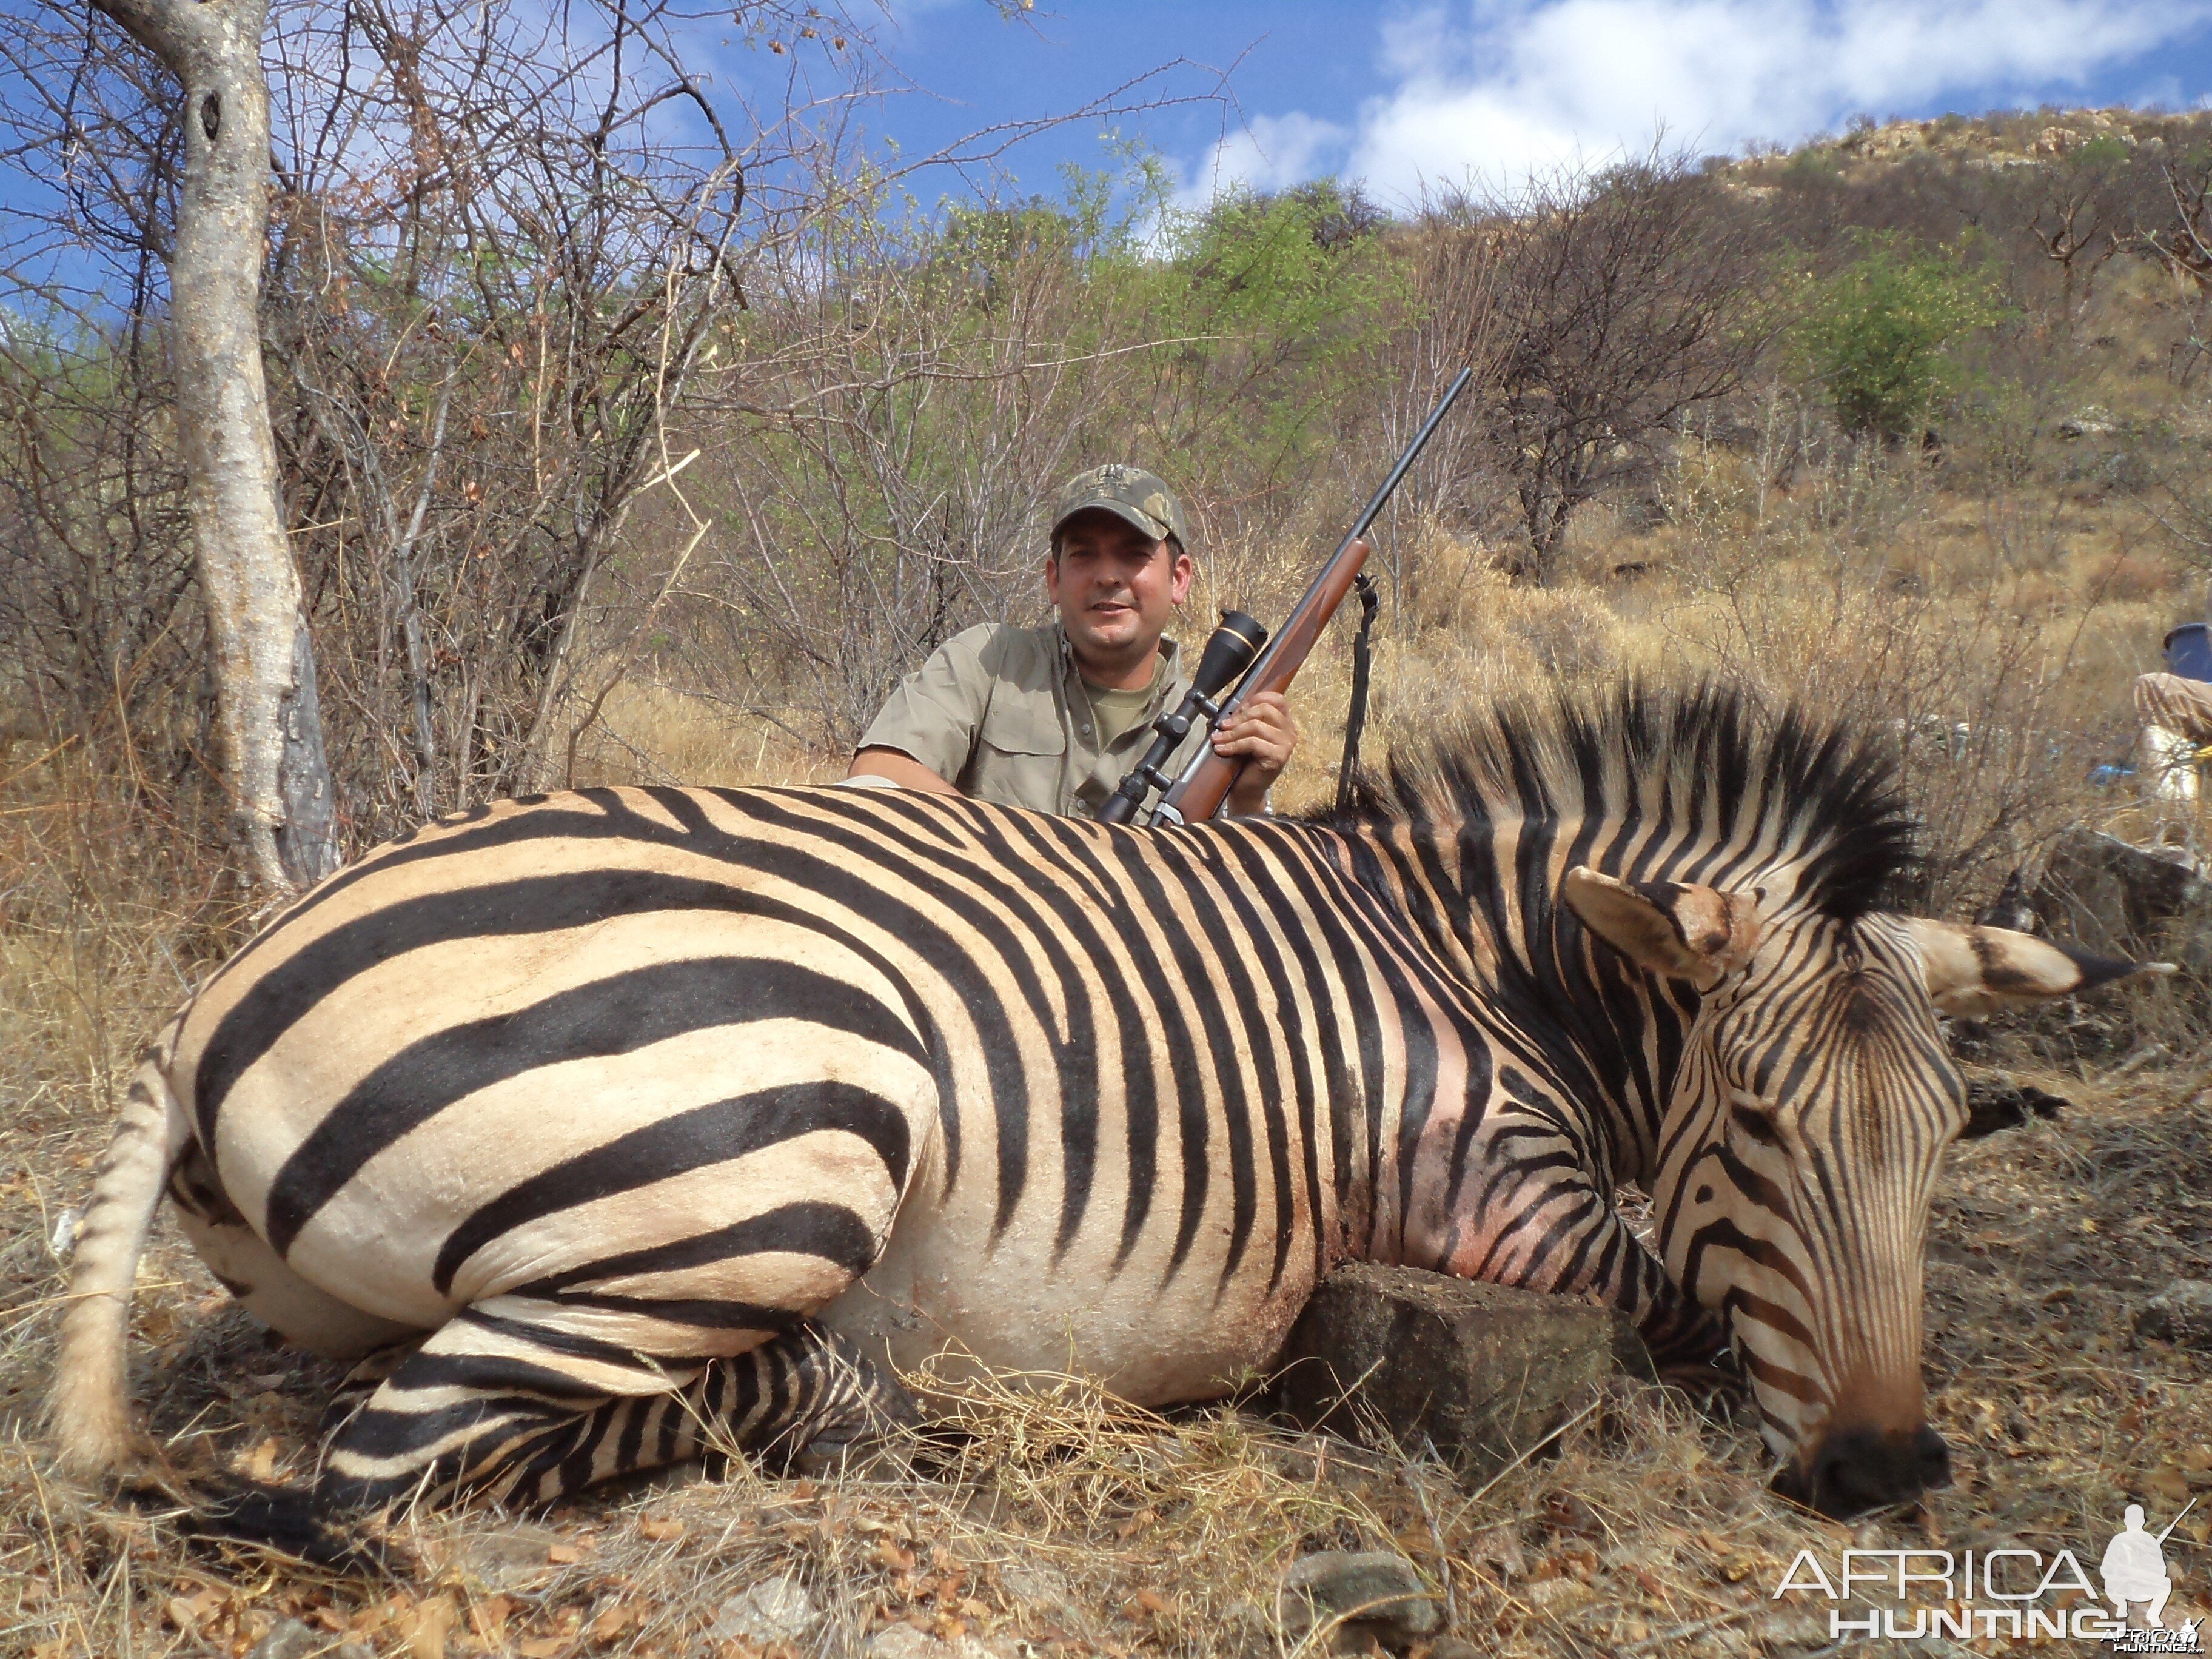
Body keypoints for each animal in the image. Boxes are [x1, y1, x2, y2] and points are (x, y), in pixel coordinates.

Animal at [52, 681, 2159, 1540]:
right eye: (1756, 1137)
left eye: (1943, 1151)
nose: (1888, 1475)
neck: (1474, 961)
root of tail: (210, 989)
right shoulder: (1502, 1205)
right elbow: (1683, 1298)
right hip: (801, 1132)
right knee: (378, 1474)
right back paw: (869, 1400)